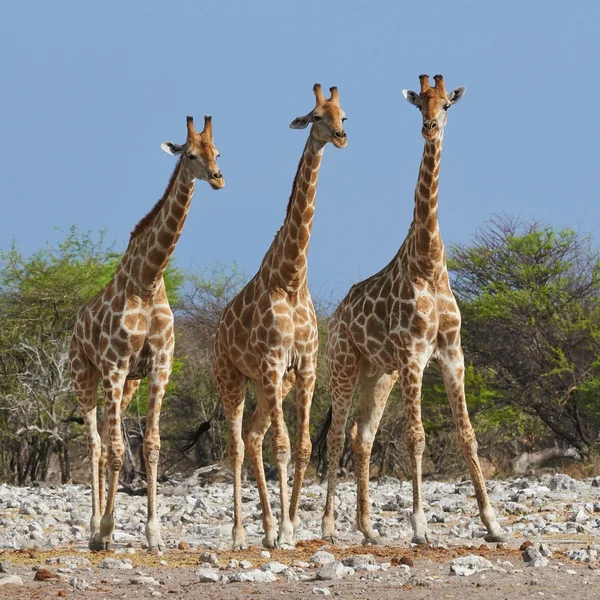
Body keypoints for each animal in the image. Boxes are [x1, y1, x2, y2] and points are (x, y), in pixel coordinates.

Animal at [68, 115, 223, 552]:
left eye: (217, 152)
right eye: (191, 155)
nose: (218, 178)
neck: (149, 279)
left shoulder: (158, 367)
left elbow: (151, 447)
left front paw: (154, 534)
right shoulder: (116, 366)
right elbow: (118, 450)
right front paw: (106, 529)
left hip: (125, 386)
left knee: (107, 443)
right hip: (86, 376)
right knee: (96, 443)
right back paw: (93, 529)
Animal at [212, 84, 346, 548]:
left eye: (344, 115)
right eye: (316, 116)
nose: (341, 137)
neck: (291, 278)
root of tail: (215, 334)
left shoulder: (304, 367)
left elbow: (302, 446)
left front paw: (288, 526)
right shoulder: (271, 362)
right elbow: (284, 447)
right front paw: (287, 529)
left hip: (274, 384)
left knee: (254, 435)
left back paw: (267, 529)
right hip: (232, 378)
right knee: (236, 444)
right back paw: (239, 534)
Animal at [318, 74, 506, 544]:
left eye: (447, 106)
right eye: (420, 103)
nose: (429, 128)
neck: (429, 263)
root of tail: (335, 317)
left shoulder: (452, 353)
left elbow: (468, 435)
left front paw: (493, 522)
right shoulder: (414, 355)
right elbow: (416, 437)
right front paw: (420, 525)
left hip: (378, 373)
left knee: (361, 436)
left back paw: (368, 528)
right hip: (344, 365)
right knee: (336, 436)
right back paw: (328, 525)